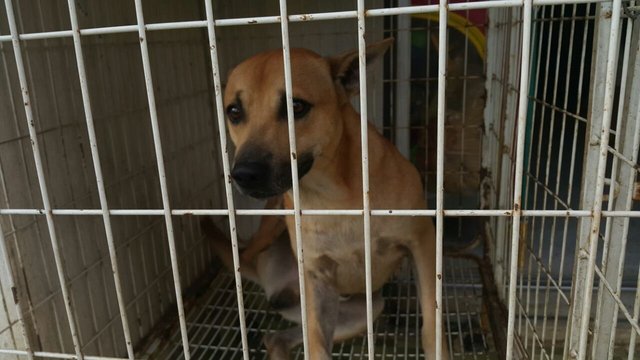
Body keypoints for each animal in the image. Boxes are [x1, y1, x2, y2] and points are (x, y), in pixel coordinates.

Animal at [220, 38, 444, 358]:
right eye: (234, 111)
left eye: (296, 106)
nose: (244, 174)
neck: (333, 196)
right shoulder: (317, 280)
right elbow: (316, 344)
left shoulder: (422, 243)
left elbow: (431, 324)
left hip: (365, 308)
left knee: (276, 337)